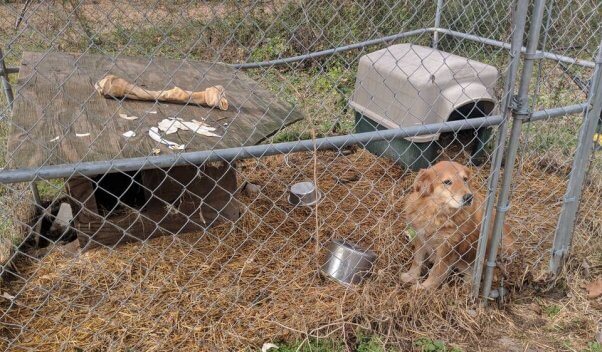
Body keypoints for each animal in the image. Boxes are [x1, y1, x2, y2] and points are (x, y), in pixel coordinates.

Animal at [400, 161, 512, 290]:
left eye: (465, 179)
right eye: (447, 182)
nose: (468, 197)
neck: (438, 213)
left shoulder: (447, 248)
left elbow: (437, 271)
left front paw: (425, 287)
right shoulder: (421, 236)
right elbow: (417, 260)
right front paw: (411, 276)